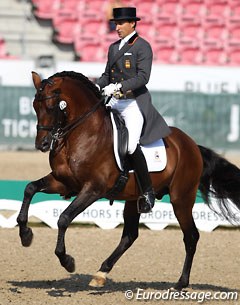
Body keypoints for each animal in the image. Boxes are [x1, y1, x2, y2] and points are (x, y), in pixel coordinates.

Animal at [16, 70, 240, 290]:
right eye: (35, 106)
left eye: (52, 107)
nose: (43, 144)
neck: (82, 133)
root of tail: (191, 144)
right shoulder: (63, 182)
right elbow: (30, 188)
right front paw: (26, 235)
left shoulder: (92, 189)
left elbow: (63, 218)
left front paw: (67, 261)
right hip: (134, 200)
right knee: (130, 236)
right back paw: (101, 274)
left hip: (181, 200)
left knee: (191, 236)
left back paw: (180, 283)